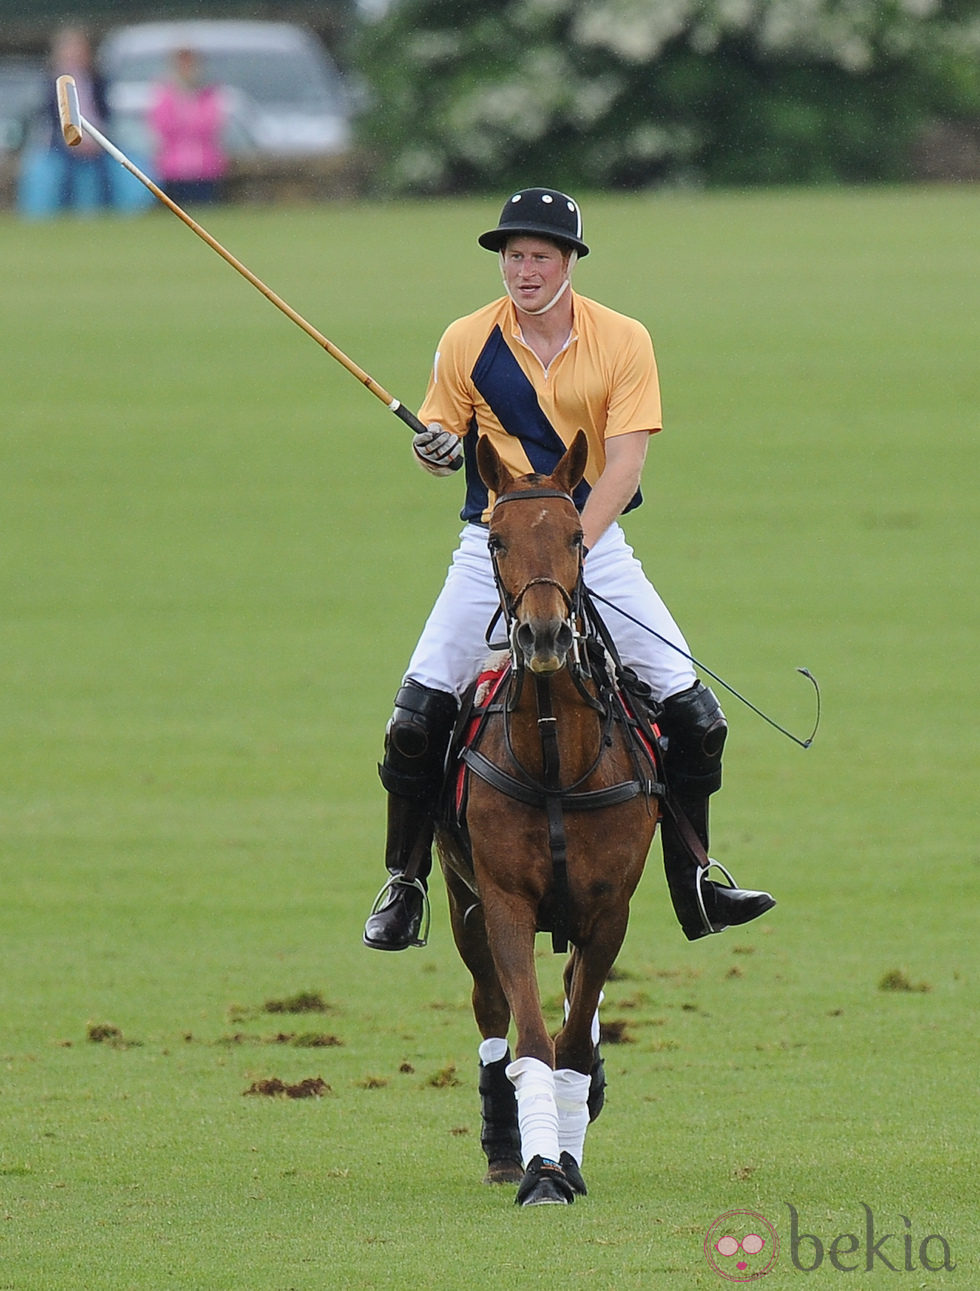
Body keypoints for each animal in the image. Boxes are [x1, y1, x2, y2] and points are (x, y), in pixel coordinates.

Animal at [438, 436, 661, 1208]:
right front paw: (539, 1170)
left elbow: (571, 1041)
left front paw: (567, 1154)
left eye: (575, 537)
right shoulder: (503, 902)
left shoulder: (610, 910)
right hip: (462, 901)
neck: (558, 762)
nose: (542, 635)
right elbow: (532, 1039)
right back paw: (504, 1147)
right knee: (490, 1011)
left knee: (573, 1008)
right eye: (496, 538)